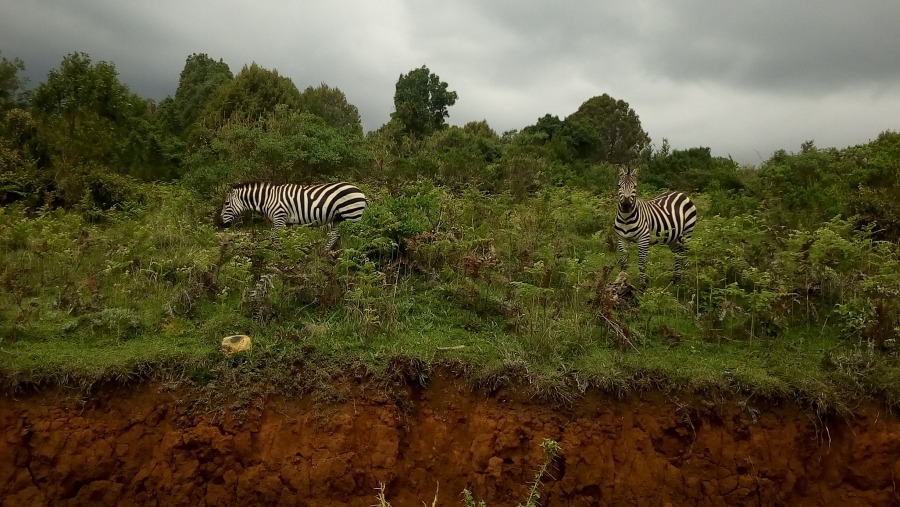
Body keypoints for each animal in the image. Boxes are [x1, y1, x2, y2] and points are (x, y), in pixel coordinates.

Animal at [220, 182, 368, 251]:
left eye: (226, 203)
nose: (221, 223)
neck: (268, 199)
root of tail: (361, 192)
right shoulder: (286, 222)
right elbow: (286, 239)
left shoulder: (279, 217)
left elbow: (274, 238)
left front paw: (274, 254)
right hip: (339, 218)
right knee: (335, 235)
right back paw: (325, 253)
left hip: (352, 214)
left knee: (357, 237)